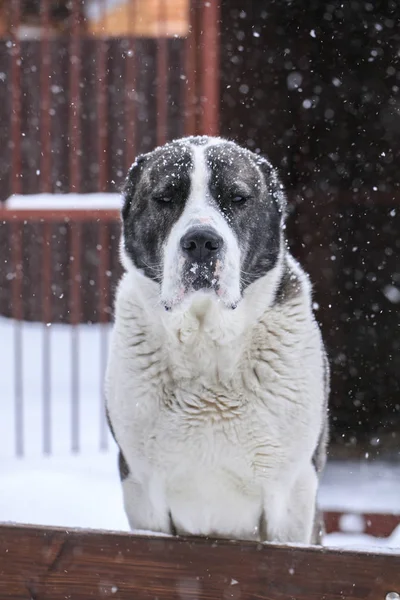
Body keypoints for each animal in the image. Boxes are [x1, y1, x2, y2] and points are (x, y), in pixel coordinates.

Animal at [105, 135, 328, 544]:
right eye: (165, 198)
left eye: (238, 198)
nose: (201, 242)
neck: (204, 342)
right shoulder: (142, 490)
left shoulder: (292, 493)